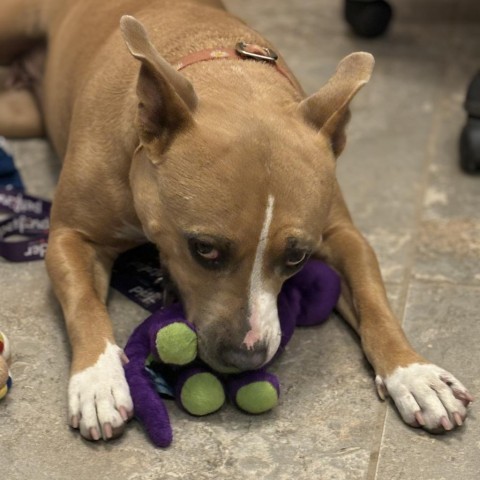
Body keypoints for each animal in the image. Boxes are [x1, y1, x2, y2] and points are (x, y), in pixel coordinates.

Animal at [0, 0, 472, 442]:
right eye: (203, 248)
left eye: (298, 259)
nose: (246, 357)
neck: (225, 71)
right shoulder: (70, 236)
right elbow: (84, 304)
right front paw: (98, 381)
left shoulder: (343, 235)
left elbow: (375, 302)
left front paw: (414, 374)